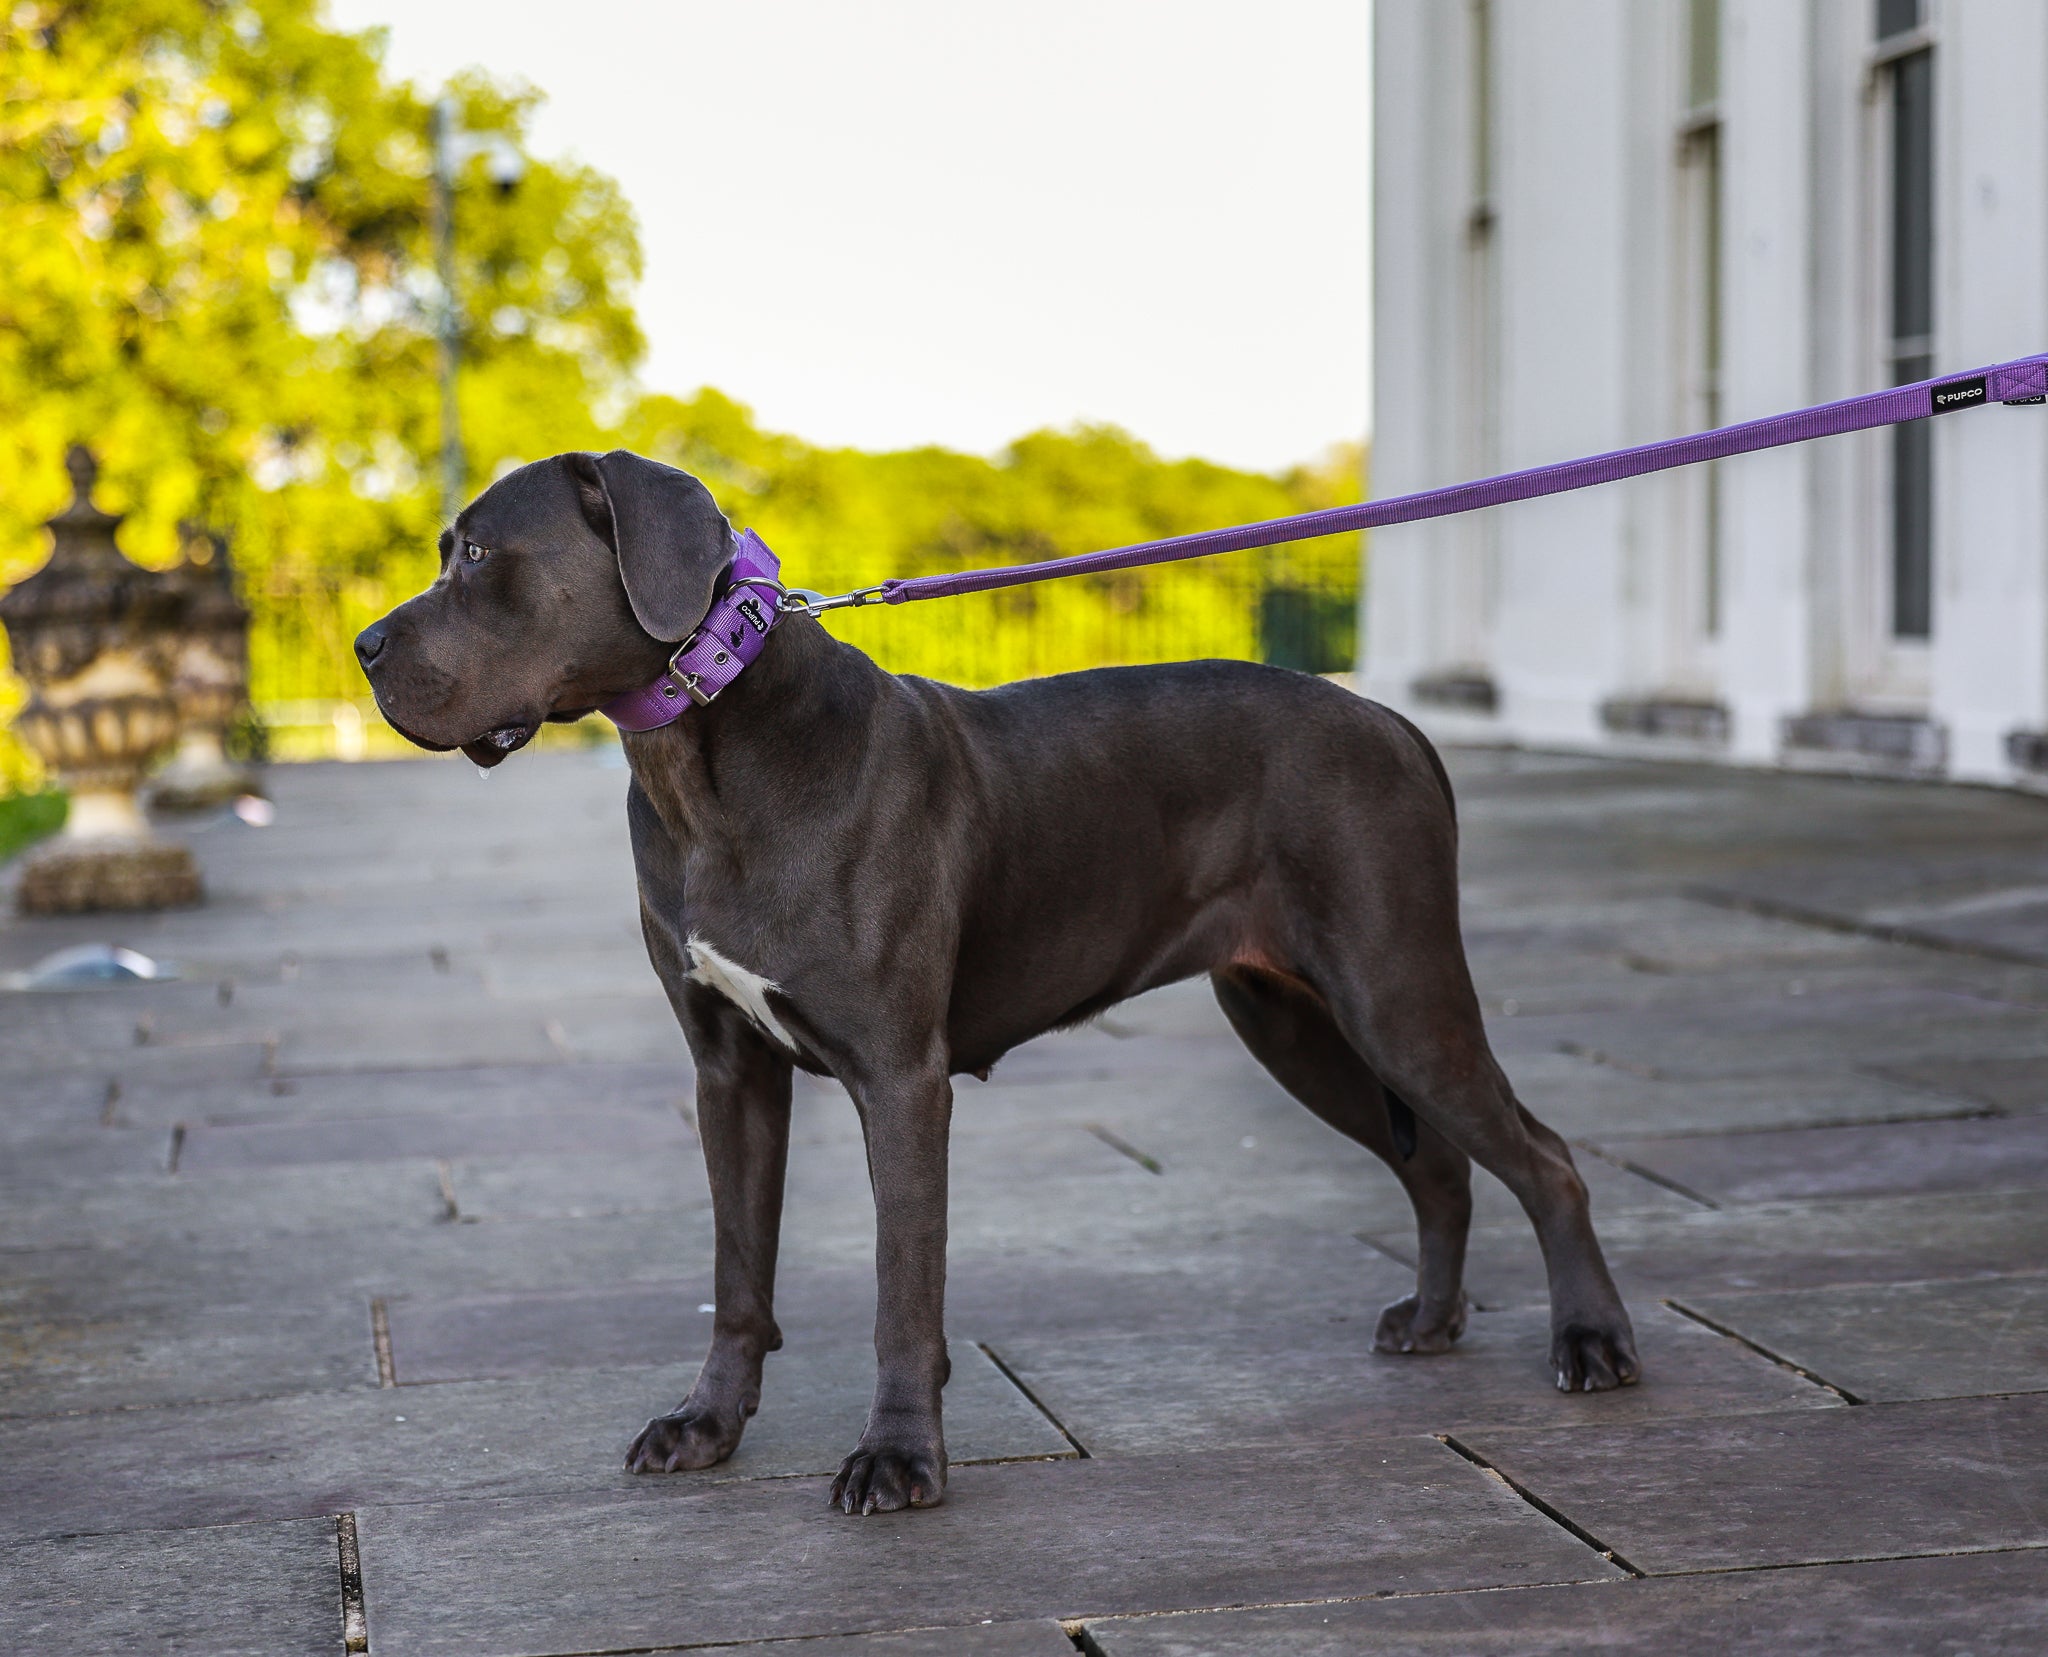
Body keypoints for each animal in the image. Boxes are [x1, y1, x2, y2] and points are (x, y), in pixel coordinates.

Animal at [348, 448, 1630, 1515]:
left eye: (477, 555)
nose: (362, 647)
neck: (700, 758)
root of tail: (1397, 724)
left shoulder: (899, 1079)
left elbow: (899, 1289)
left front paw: (898, 1458)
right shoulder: (730, 1072)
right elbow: (736, 1270)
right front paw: (706, 1424)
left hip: (1392, 991)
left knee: (1543, 1156)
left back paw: (1592, 1342)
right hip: (1294, 1021)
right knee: (1440, 1164)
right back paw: (1432, 1319)